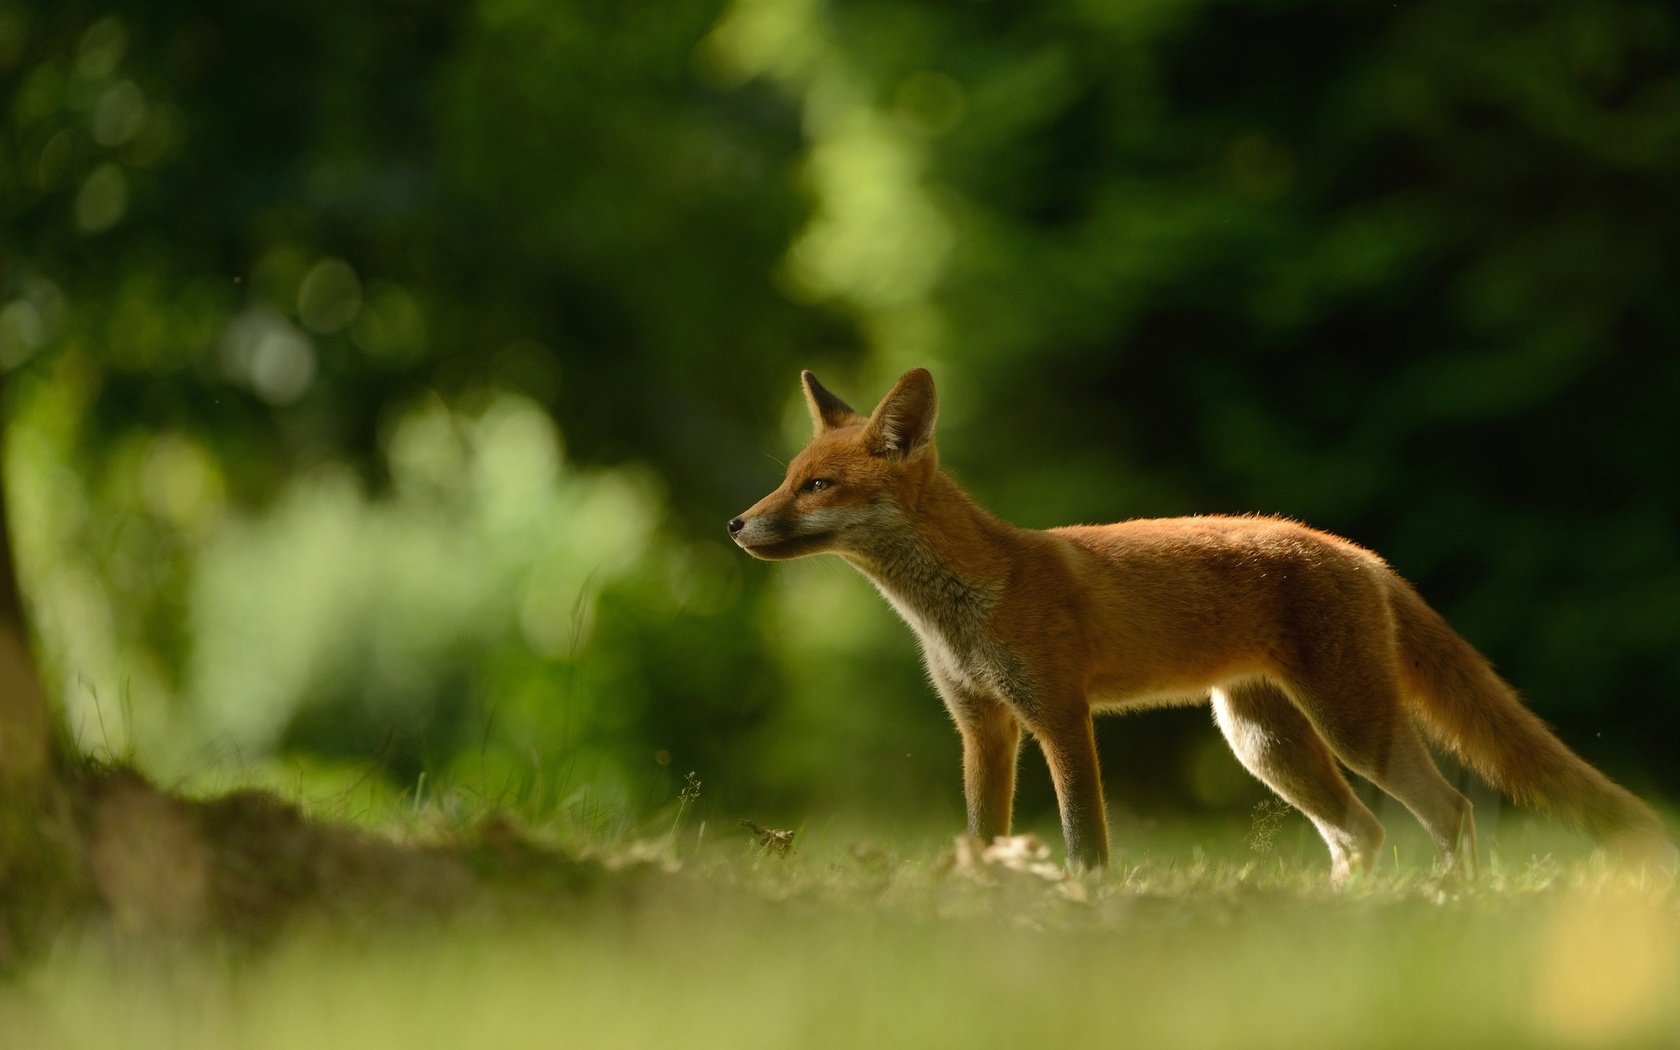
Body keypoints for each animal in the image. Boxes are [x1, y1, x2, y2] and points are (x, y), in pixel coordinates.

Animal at [729, 367, 1673, 873]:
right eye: (786, 478)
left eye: (817, 486)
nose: (736, 523)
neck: (957, 609)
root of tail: (1356, 550)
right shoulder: (984, 730)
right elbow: (982, 837)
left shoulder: (1060, 717)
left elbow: (1085, 840)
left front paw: (1085, 907)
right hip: (1265, 743)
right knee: (1360, 834)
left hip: (1352, 725)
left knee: (1449, 812)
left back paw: (1448, 908)